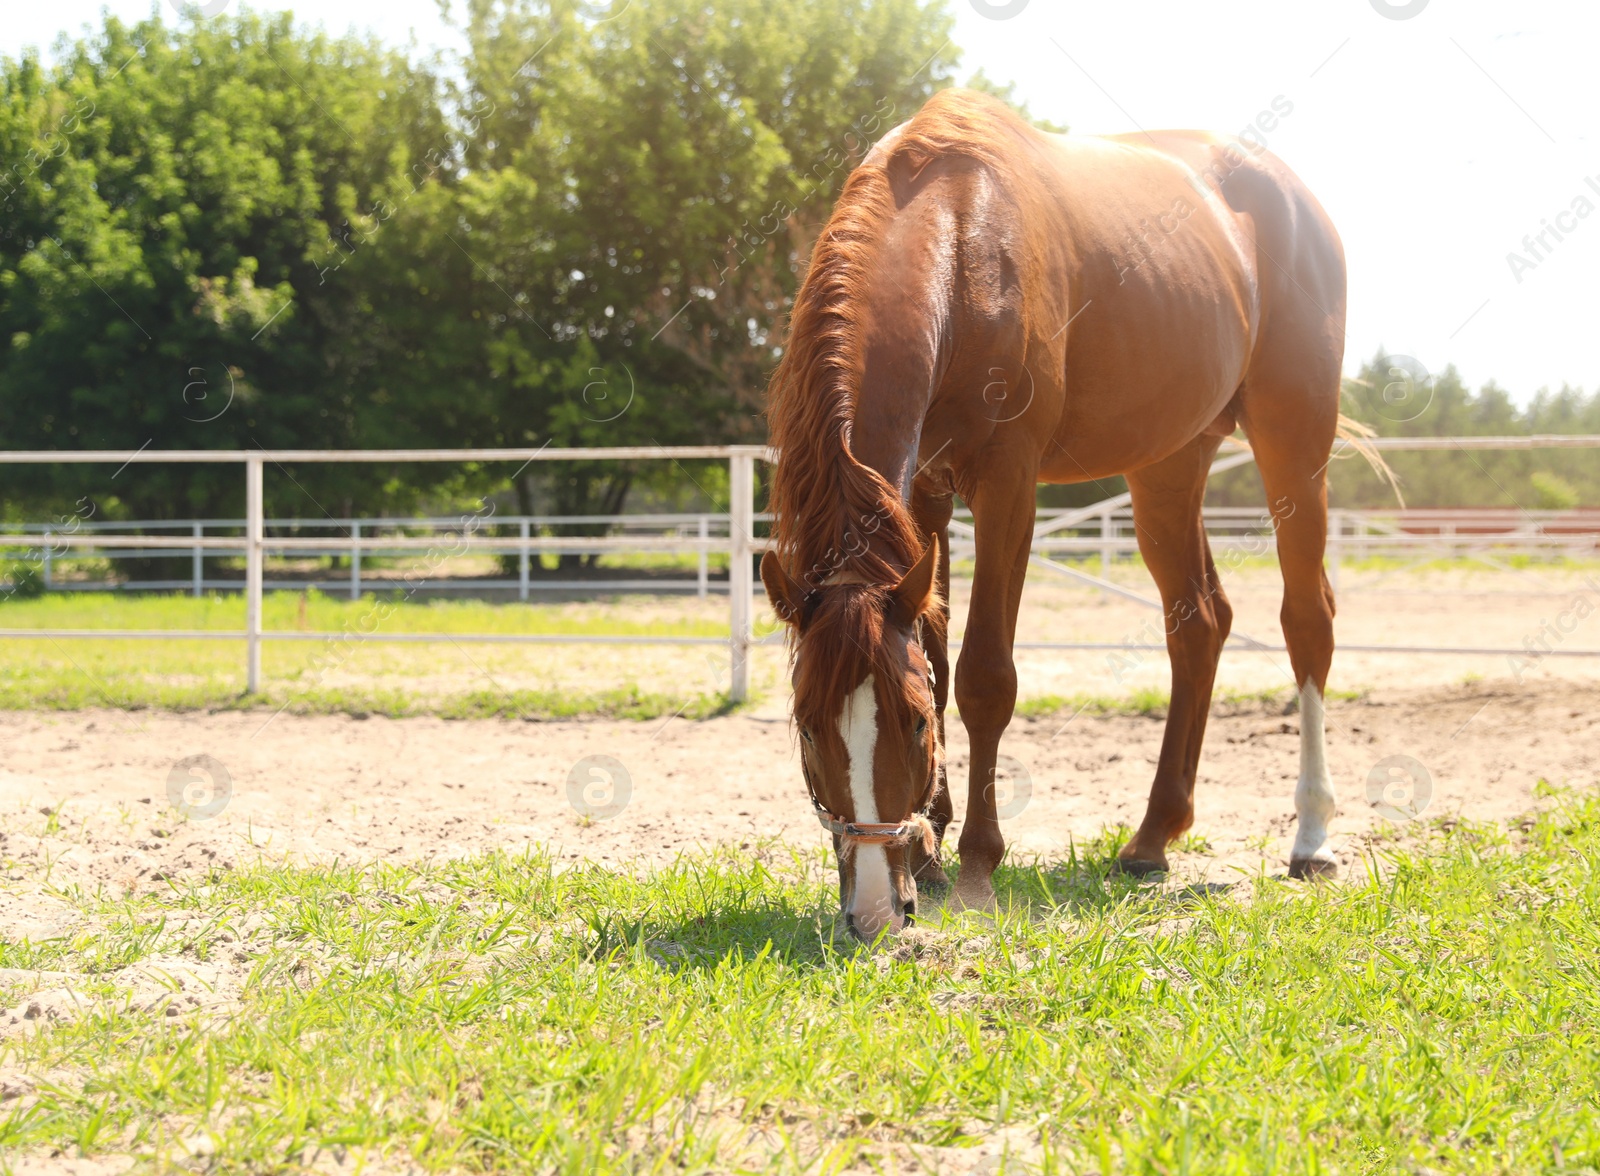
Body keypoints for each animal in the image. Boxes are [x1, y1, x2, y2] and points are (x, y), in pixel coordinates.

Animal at [761, 87, 1376, 940]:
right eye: (807, 725)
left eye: (910, 725)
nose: (879, 912)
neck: (961, 233)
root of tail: (1295, 196)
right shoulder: (925, 494)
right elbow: (937, 656)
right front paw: (930, 850)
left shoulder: (1008, 482)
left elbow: (984, 675)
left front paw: (977, 864)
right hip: (1167, 464)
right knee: (1199, 623)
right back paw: (1151, 840)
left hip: (1295, 439)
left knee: (1306, 620)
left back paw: (1312, 838)